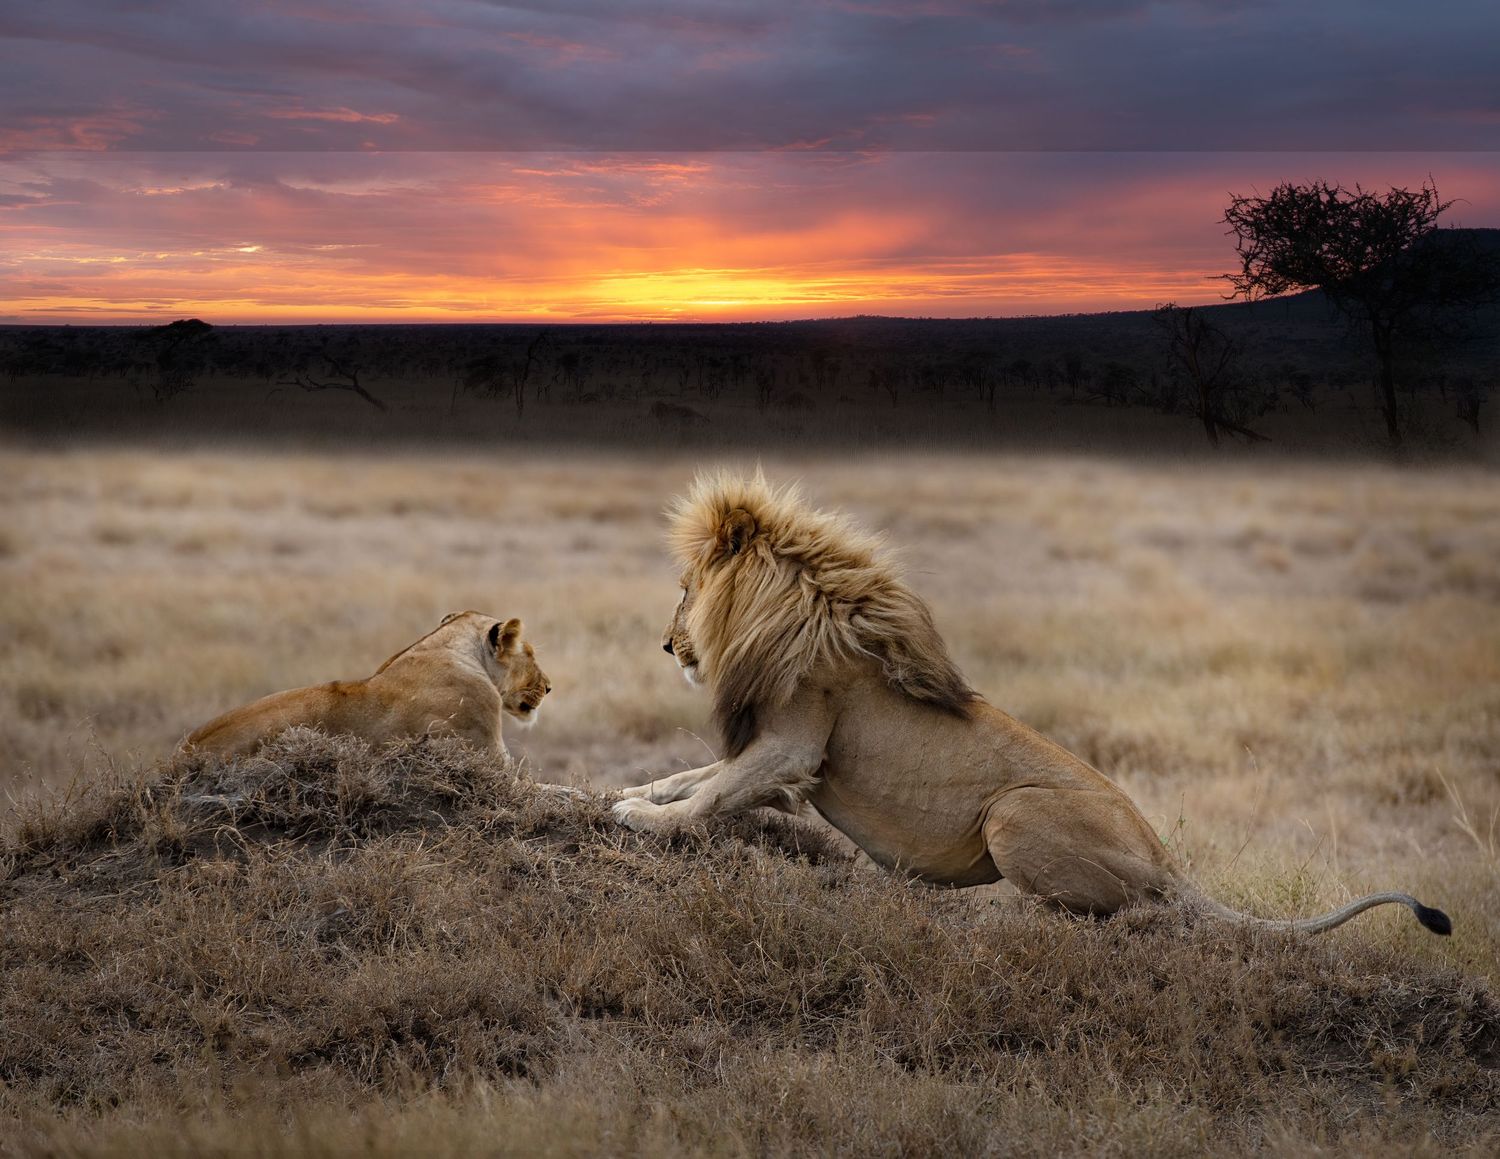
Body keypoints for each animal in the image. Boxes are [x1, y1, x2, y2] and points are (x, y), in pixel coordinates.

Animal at [613, 471, 1451, 937]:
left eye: (685, 588)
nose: (665, 644)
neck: (797, 611)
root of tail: (1168, 859)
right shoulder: (781, 754)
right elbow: (691, 776)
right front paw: (624, 791)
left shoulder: (795, 743)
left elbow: (708, 794)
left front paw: (641, 819)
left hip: (1013, 812)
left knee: (1121, 912)